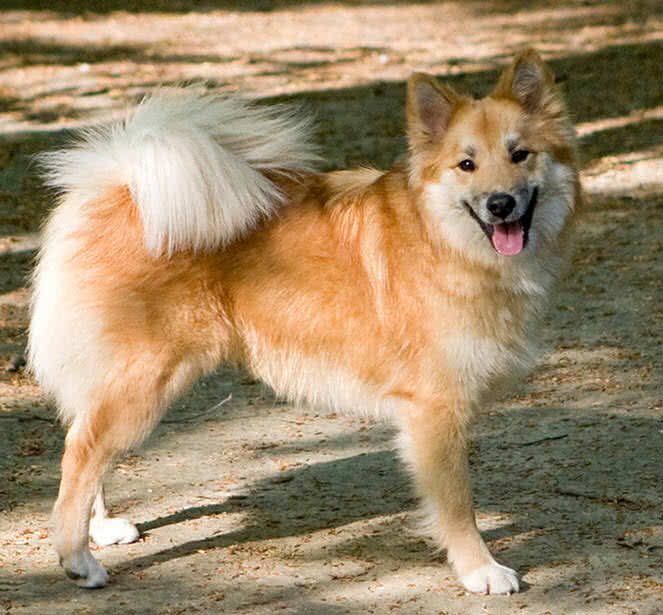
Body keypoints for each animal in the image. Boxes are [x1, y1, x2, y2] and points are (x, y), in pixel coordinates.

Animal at [29, 50, 580, 596]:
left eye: (520, 155)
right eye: (467, 165)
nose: (500, 204)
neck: (441, 237)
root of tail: (121, 185)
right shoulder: (436, 410)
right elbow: (457, 505)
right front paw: (479, 569)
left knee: (86, 439)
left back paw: (102, 529)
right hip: (146, 378)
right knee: (80, 450)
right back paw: (77, 559)